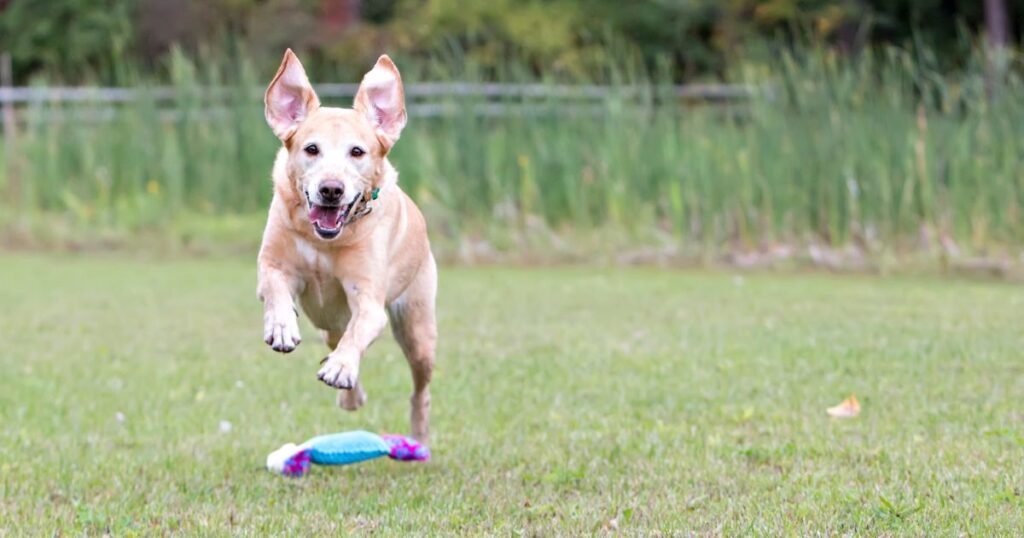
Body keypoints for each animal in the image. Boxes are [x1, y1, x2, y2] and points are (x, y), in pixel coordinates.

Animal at [256, 52, 436, 442]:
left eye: (357, 152)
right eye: (311, 149)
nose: (331, 189)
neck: (324, 242)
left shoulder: (368, 298)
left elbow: (360, 329)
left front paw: (339, 368)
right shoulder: (274, 265)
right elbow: (275, 287)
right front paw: (282, 327)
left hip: (418, 331)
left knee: (420, 389)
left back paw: (417, 433)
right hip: (328, 326)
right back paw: (352, 397)